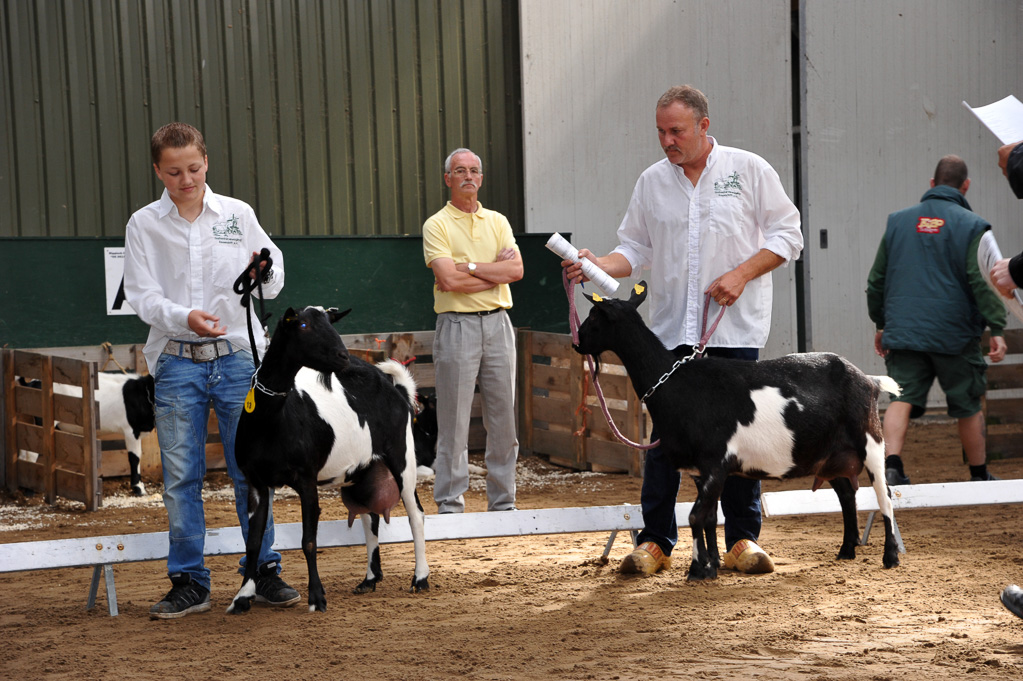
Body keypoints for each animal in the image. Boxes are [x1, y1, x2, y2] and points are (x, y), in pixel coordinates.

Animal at [17, 372, 154, 492]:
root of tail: (33, 383)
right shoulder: (131, 430)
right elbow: (135, 457)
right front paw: (138, 488)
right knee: (31, 453)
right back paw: (30, 490)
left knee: (23, 451)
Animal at [228, 304, 427, 613]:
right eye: (303, 325)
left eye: (330, 322)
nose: (343, 356)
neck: (273, 419)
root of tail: (397, 389)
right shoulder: (256, 483)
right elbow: (253, 541)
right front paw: (242, 597)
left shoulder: (307, 480)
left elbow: (309, 541)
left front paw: (317, 598)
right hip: (363, 471)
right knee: (370, 516)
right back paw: (370, 579)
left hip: (403, 458)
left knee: (416, 515)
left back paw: (419, 579)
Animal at [576, 280, 904, 576]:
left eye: (593, 316)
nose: (576, 343)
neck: (677, 384)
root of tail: (869, 379)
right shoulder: (701, 471)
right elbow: (709, 517)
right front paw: (711, 563)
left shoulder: (715, 463)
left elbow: (695, 517)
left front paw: (698, 569)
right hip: (828, 454)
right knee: (847, 493)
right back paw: (846, 550)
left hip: (870, 441)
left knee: (884, 494)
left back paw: (890, 557)